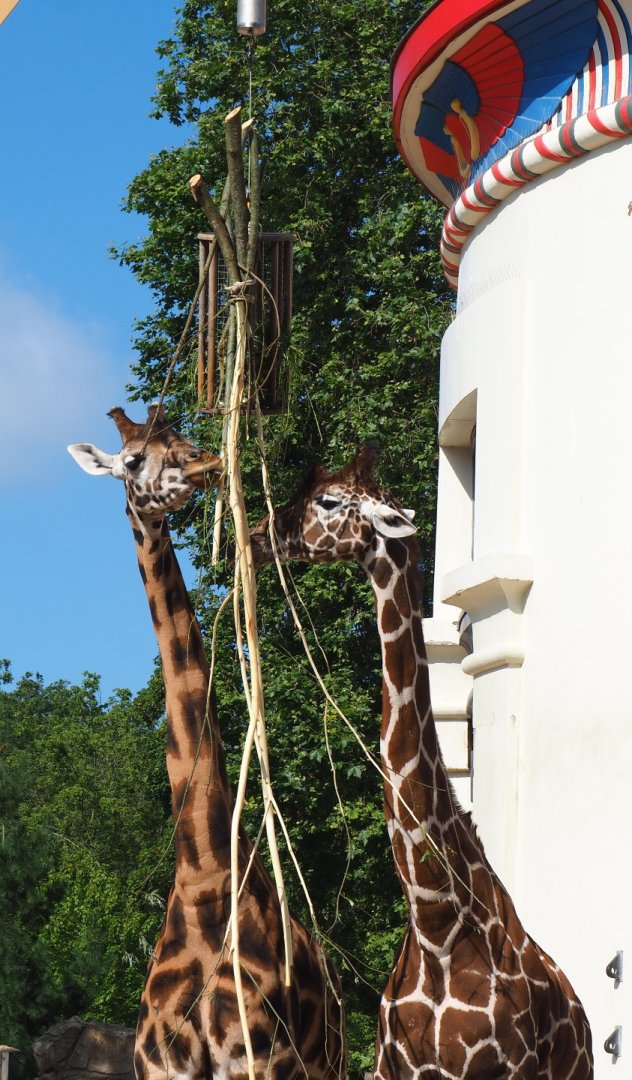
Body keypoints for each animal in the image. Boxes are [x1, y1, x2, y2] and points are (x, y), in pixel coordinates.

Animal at [68, 404, 345, 1080]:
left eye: (181, 437)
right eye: (134, 458)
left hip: (324, 1061)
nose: (207, 463)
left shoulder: (258, 1059)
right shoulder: (159, 1066)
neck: (203, 878)